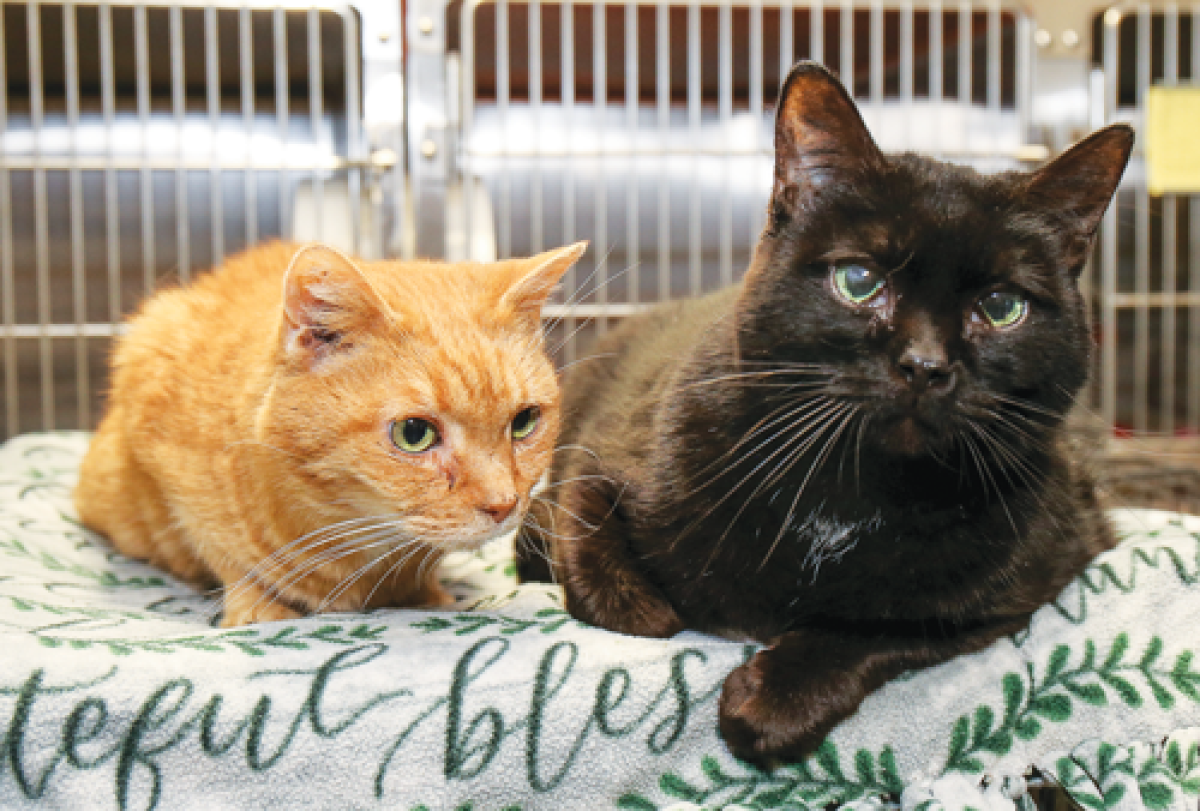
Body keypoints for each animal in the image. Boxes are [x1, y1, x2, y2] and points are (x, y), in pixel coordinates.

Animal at [72, 241, 583, 628]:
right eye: (414, 433)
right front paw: (258, 608)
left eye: (523, 421)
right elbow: (229, 557)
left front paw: (427, 595)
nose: (503, 505)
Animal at [520, 63, 1128, 767]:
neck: (850, 488)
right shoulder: (611, 451)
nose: (925, 365)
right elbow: (592, 548)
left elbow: (888, 626)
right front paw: (645, 606)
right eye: (858, 282)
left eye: (1003, 307)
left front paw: (775, 702)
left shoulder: (1038, 567)